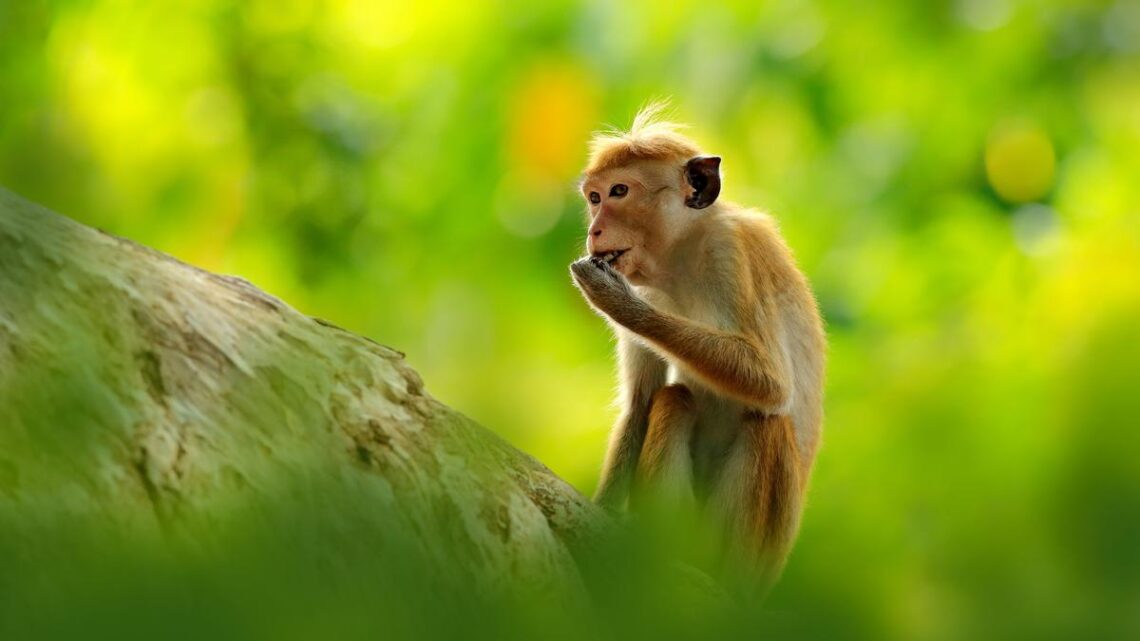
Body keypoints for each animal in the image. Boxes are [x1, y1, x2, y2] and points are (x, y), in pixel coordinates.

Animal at [569, 104, 826, 597]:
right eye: (593, 197)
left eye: (619, 191)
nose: (594, 230)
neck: (680, 261)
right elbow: (641, 404)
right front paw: (602, 510)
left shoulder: (732, 253)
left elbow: (771, 383)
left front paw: (618, 304)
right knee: (674, 399)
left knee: (768, 423)